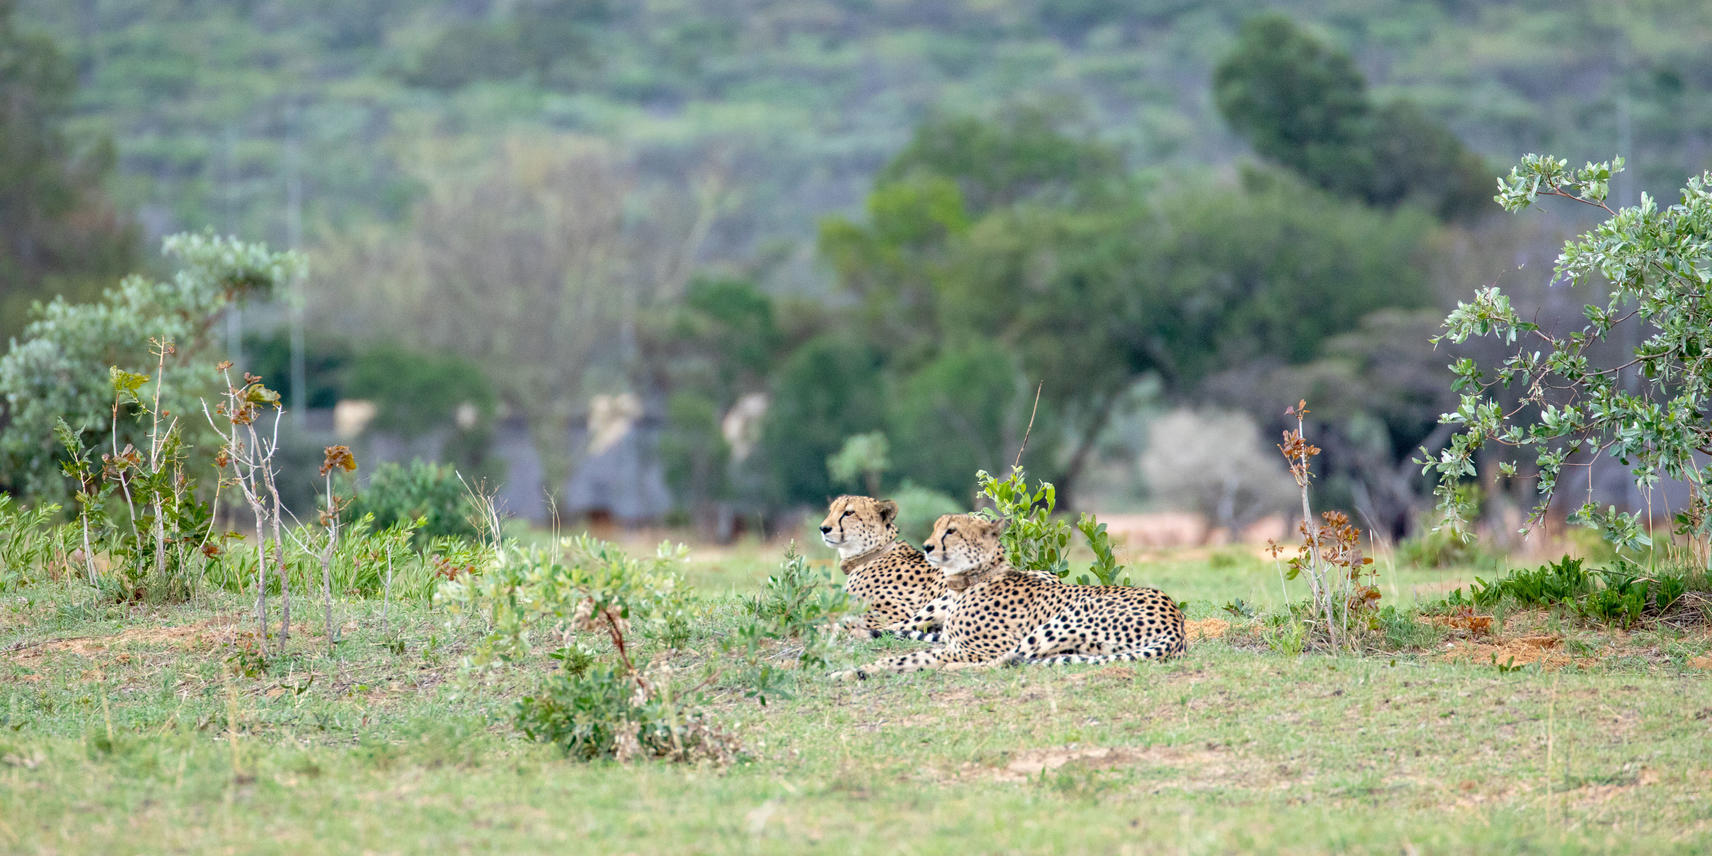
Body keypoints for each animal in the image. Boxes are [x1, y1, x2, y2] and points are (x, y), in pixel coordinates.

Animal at [819, 495, 955, 640]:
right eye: (831, 511)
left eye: (849, 513)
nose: (823, 528)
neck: (874, 552)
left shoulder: (891, 615)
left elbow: (846, 621)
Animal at [831, 513, 1186, 680]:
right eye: (935, 528)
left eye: (952, 531)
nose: (928, 547)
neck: (973, 577)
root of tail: (1176, 623)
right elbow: (904, 655)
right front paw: (849, 671)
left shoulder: (969, 650)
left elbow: (910, 658)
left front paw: (850, 670)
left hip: (1065, 618)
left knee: (1008, 661)